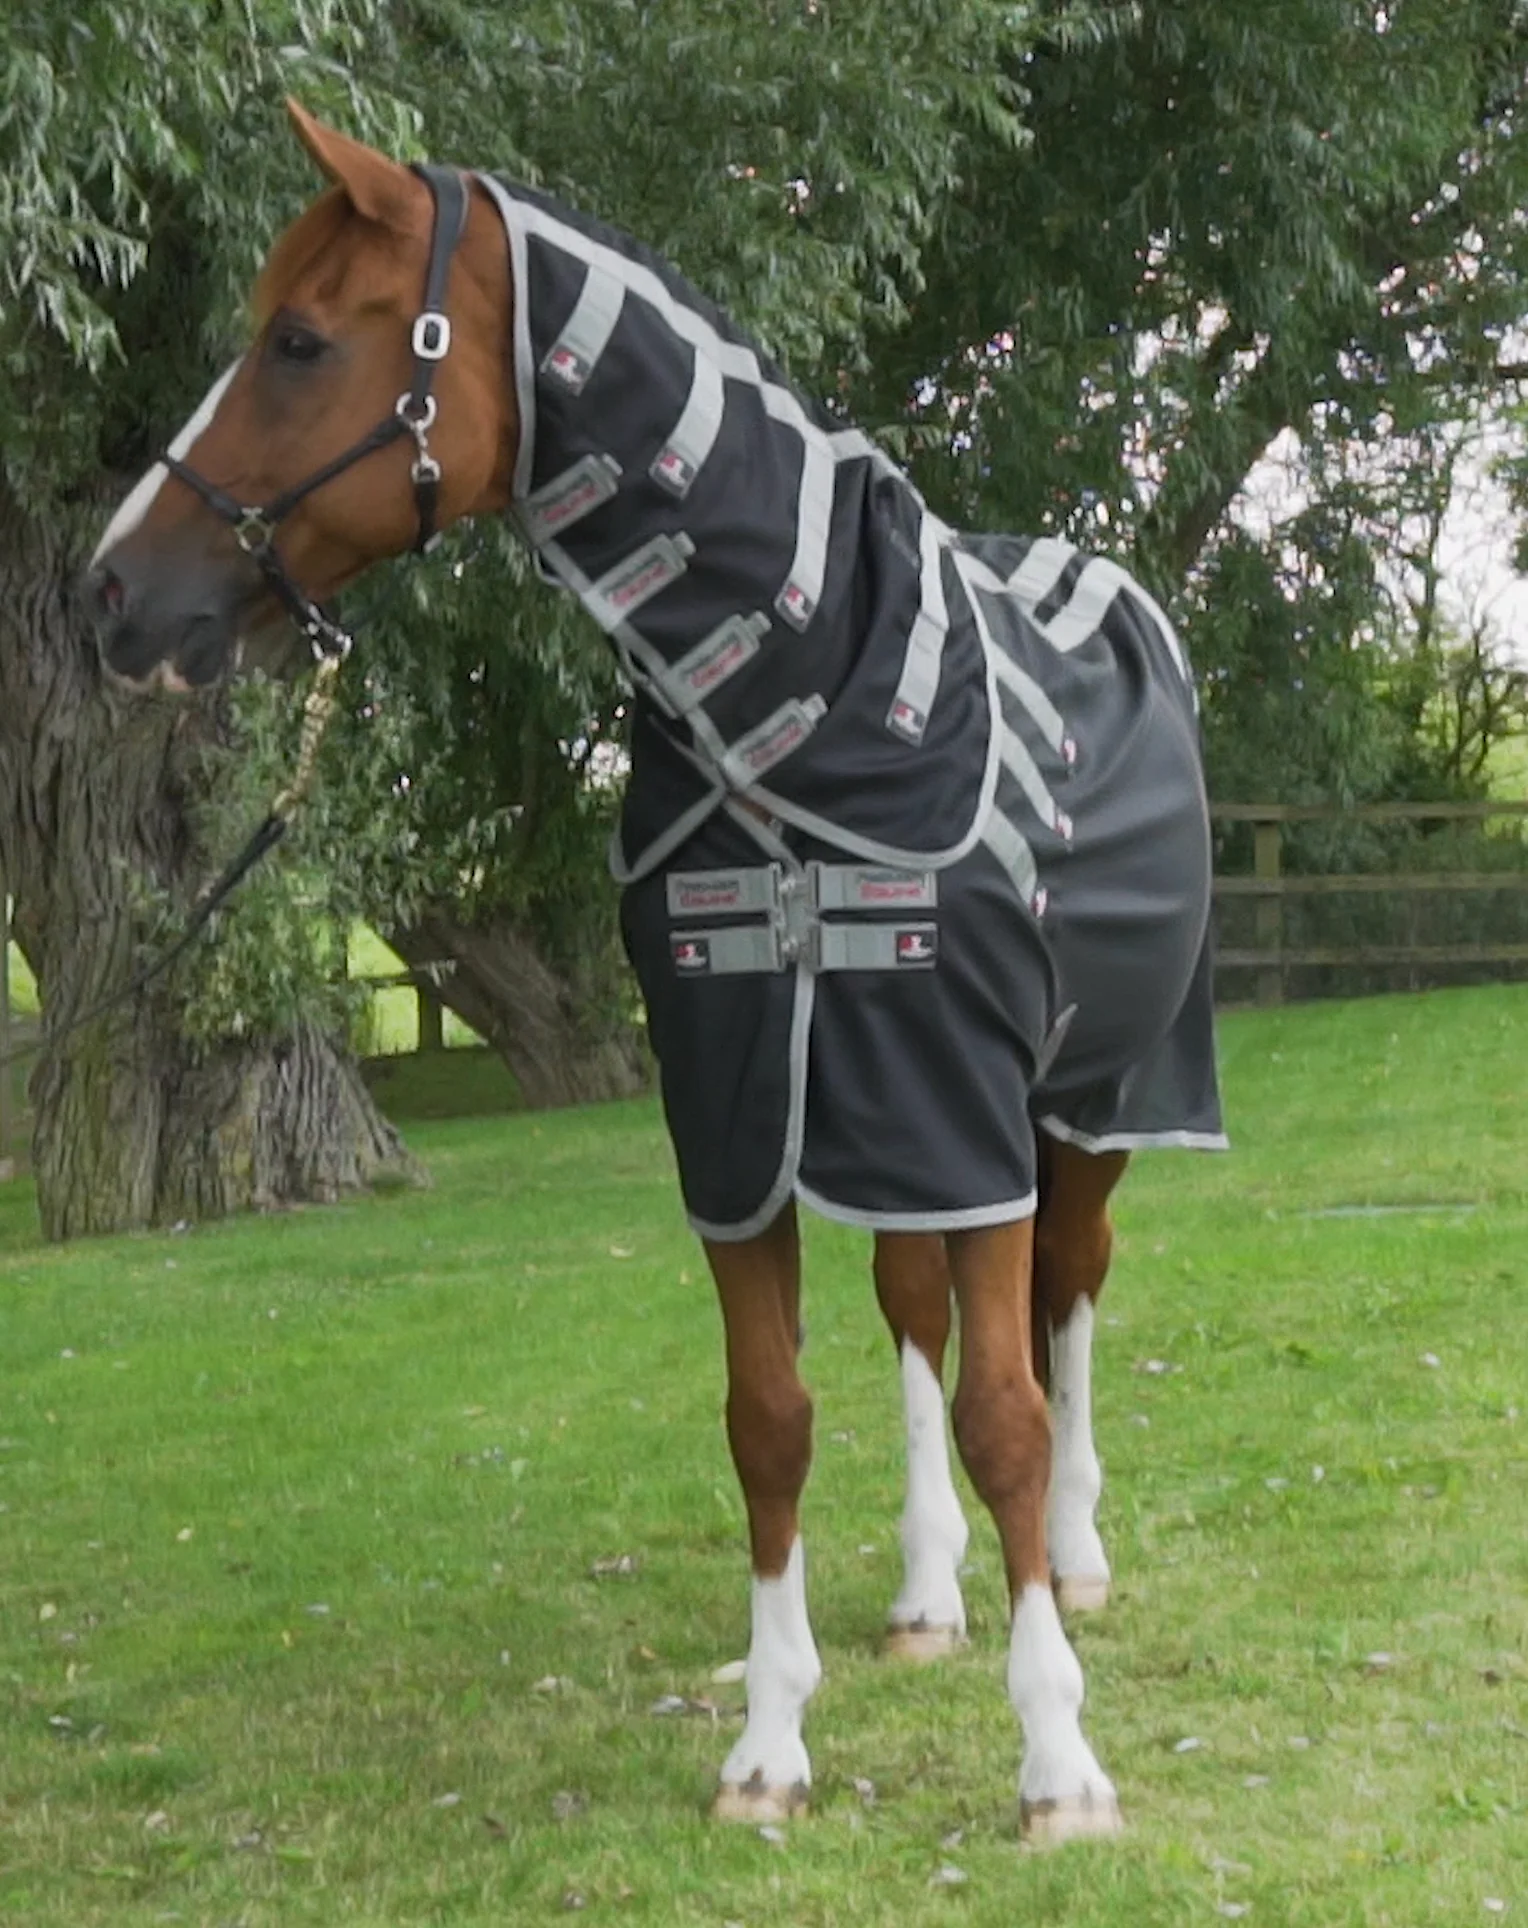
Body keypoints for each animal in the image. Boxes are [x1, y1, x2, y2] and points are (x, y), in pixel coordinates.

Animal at [87, 101, 1226, 1846]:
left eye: (298, 340)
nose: (109, 593)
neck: (809, 717)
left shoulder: (962, 1105)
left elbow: (1011, 1417)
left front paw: (1057, 1763)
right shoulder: (748, 1117)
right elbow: (775, 1422)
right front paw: (770, 1745)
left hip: (1091, 1102)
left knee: (1075, 1300)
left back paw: (1080, 1565)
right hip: (883, 1131)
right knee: (918, 1315)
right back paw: (926, 1595)